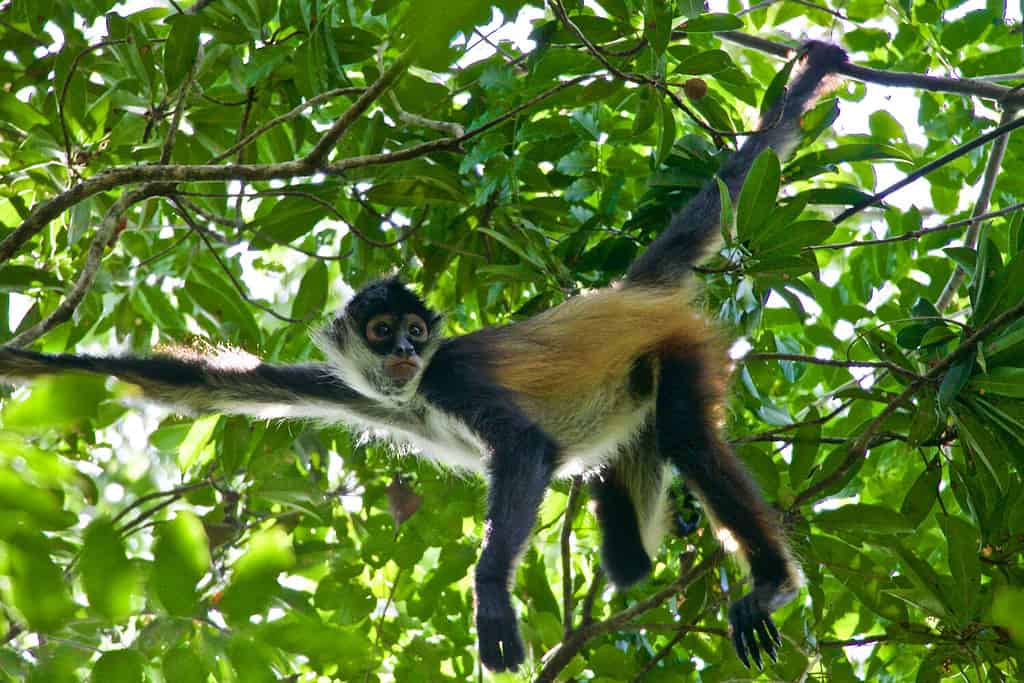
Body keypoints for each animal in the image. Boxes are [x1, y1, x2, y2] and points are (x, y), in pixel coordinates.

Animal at [0, 42, 847, 672]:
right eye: (382, 332)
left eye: (414, 330)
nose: (406, 348)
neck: (411, 394)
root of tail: (631, 293)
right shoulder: (353, 387)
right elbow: (194, 383)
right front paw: (18, 360)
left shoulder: (453, 376)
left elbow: (526, 446)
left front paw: (493, 598)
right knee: (630, 535)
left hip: (683, 350)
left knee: (683, 431)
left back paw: (772, 581)